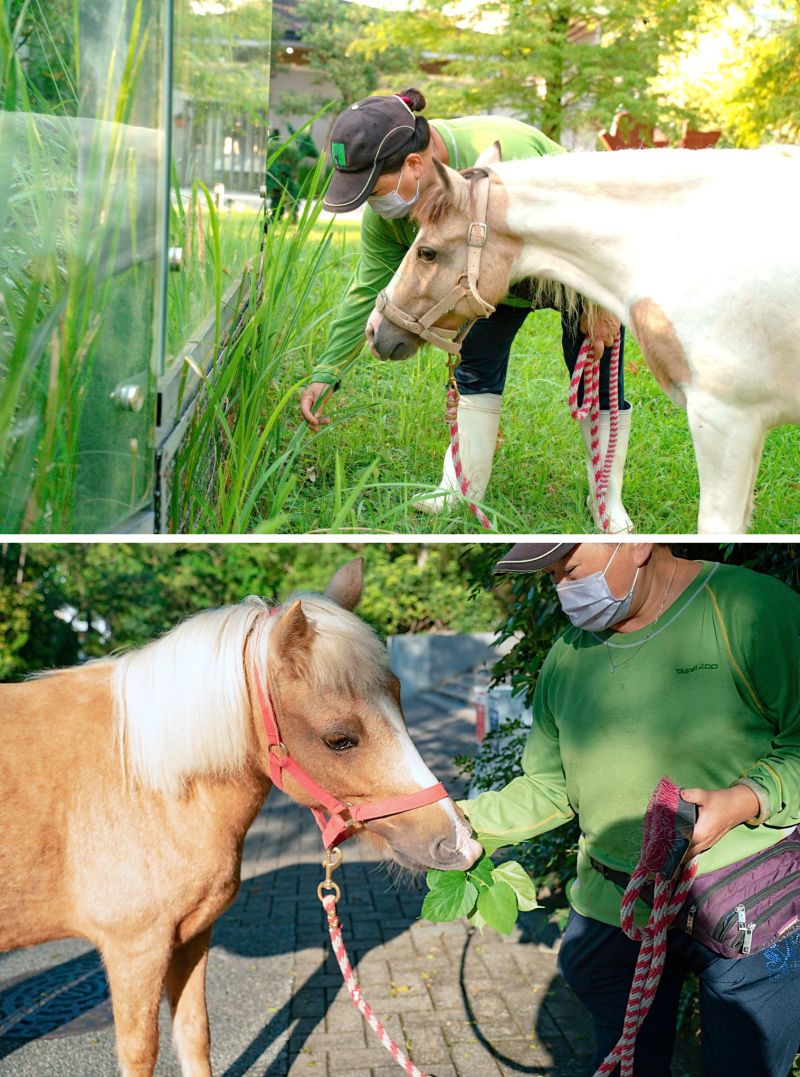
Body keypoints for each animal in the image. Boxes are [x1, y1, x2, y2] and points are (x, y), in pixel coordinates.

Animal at [0, 560, 478, 1072]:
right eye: (339, 739)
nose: (460, 843)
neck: (144, 781)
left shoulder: (191, 934)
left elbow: (195, 1034)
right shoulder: (135, 950)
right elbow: (141, 1052)